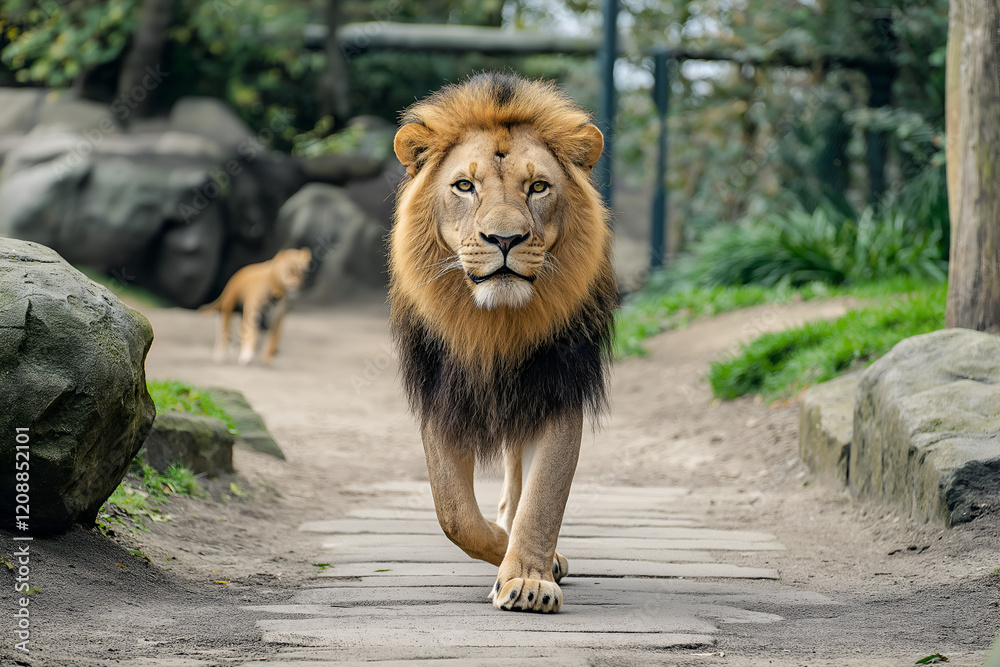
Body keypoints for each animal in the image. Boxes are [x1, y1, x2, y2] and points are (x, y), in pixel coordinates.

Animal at [389, 73, 617, 613]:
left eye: (537, 187)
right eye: (464, 186)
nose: (506, 239)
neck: (497, 327)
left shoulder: (557, 389)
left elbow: (543, 497)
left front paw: (530, 578)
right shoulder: (442, 394)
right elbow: (454, 513)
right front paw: (514, 554)